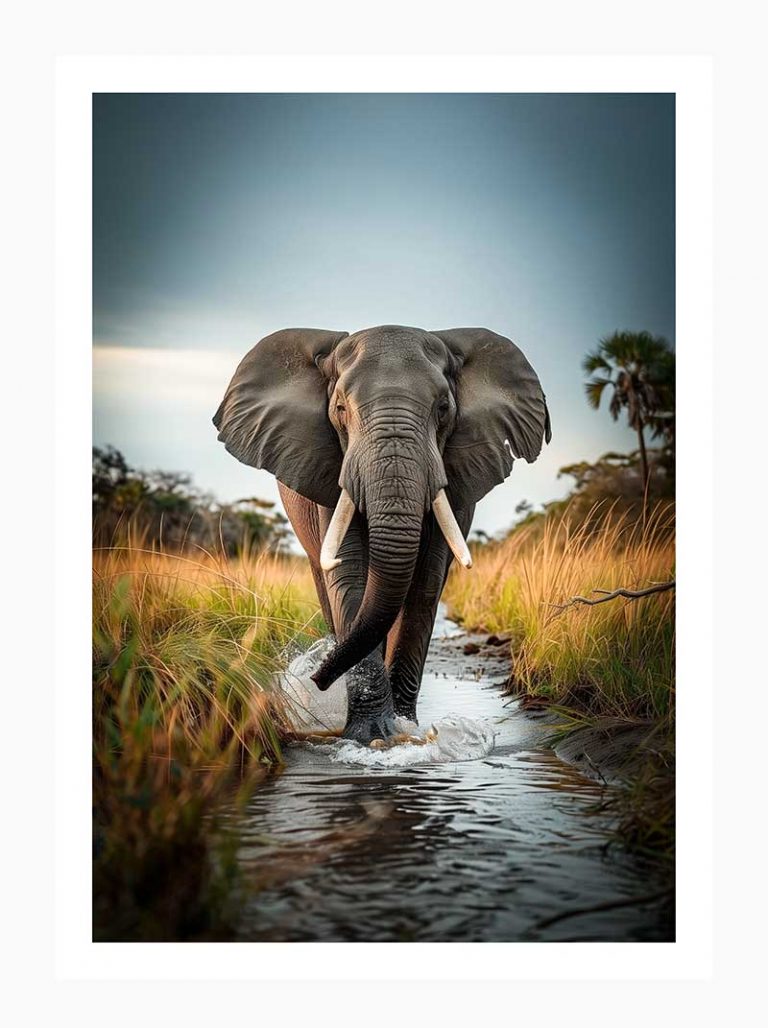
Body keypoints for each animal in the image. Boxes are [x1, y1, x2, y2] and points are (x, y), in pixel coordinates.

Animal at [214, 325, 550, 745]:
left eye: (443, 408)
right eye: (341, 409)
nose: (316, 679)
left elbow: (425, 583)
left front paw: (405, 730)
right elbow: (350, 576)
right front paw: (372, 735)